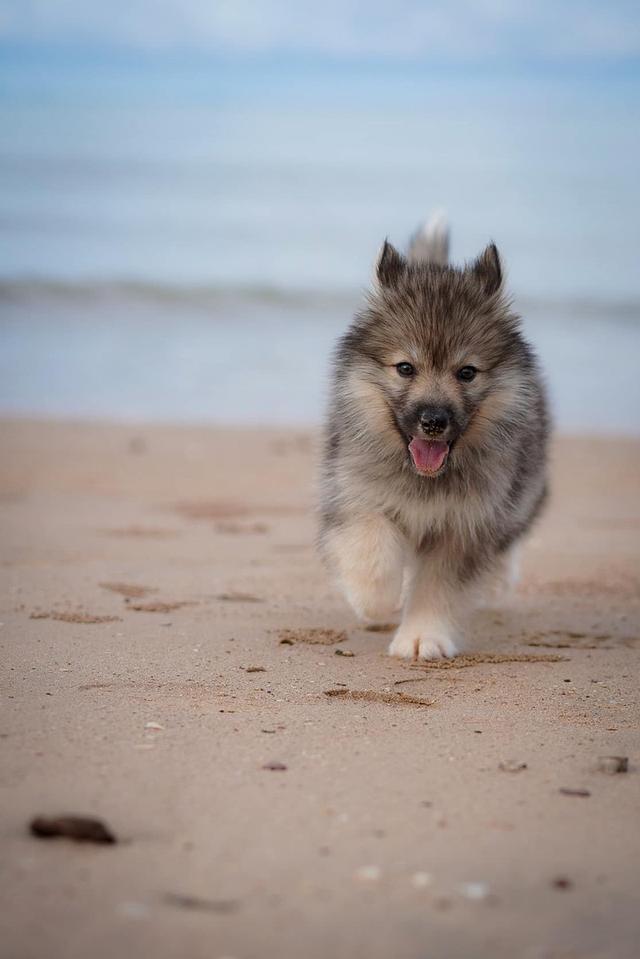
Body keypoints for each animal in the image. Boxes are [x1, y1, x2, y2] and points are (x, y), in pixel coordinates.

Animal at [320, 216, 552, 660]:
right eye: (405, 368)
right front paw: (375, 599)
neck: (425, 479)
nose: (432, 421)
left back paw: (497, 579)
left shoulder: (466, 525)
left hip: (525, 488)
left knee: (511, 534)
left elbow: (437, 586)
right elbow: (371, 546)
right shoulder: (354, 493)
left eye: (467, 372)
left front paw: (422, 636)